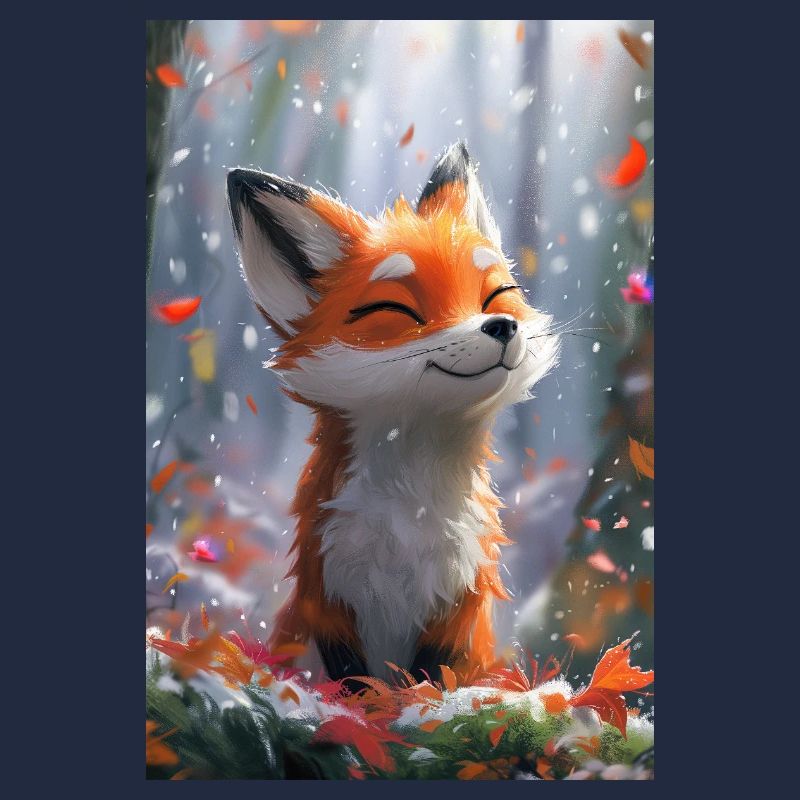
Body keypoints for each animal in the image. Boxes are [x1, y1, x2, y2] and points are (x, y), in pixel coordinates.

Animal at [226, 142, 559, 685]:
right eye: (397, 311)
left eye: (495, 296)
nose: (502, 326)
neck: (410, 513)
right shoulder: (326, 593)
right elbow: (352, 682)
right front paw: (360, 707)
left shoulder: (460, 601)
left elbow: (431, 678)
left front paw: (418, 704)